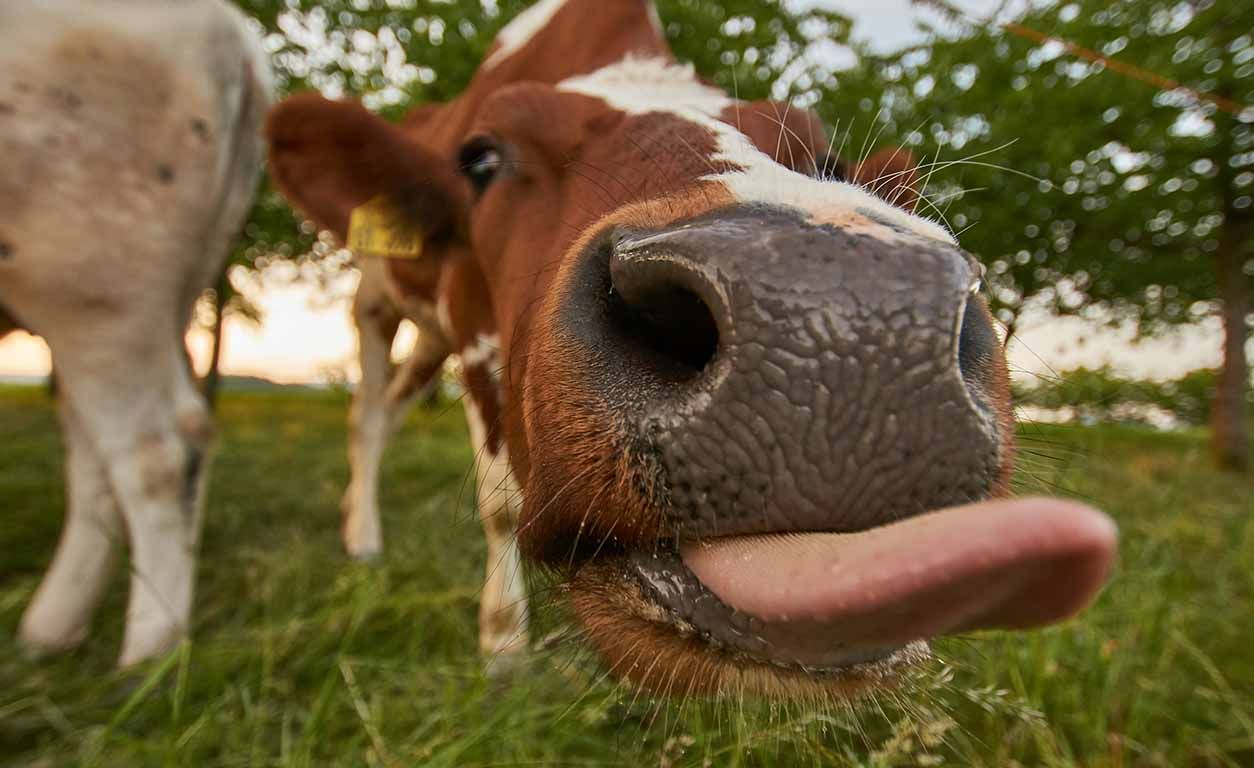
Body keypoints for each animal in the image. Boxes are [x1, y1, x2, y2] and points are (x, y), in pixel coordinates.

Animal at [0, 0, 269, 667]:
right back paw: (50, 633)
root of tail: (235, 35)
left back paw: (148, 657)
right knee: (99, 456)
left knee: (158, 449)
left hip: (94, 274)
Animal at [267, 0, 1118, 697]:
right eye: (481, 159)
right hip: (378, 301)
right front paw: (503, 650)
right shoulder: (471, 321)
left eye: (828, 160)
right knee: (368, 413)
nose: (841, 324)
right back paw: (363, 538)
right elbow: (502, 504)